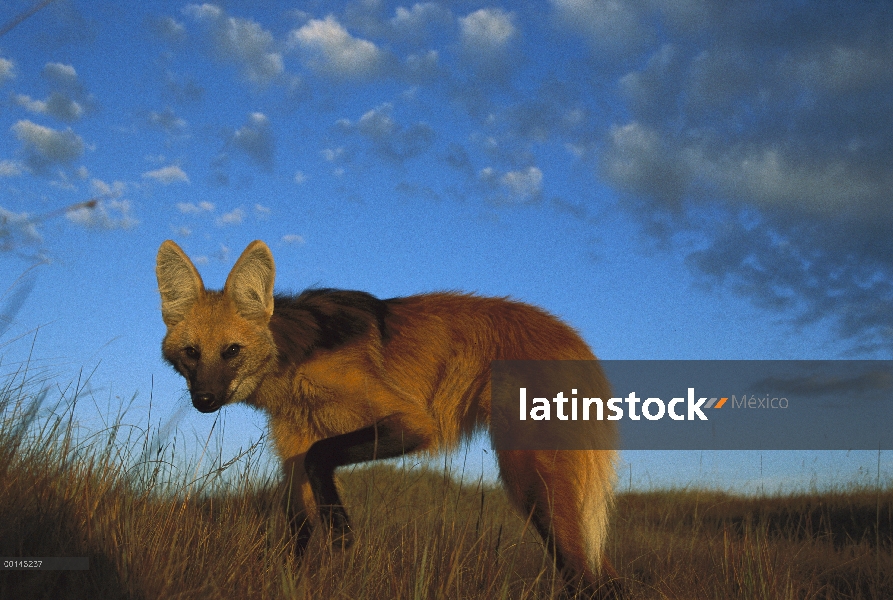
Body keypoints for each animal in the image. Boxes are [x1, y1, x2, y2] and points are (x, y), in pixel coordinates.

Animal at [157, 241, 620, 596]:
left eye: (231, 351)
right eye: (191, 353)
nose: (204, 399)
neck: (297, 360)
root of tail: (572, 337)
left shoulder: (411, 421)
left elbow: (321, 456)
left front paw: (341, 531)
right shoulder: (293, 450)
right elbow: (295, 532)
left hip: (532, 483)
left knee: (592, 579)